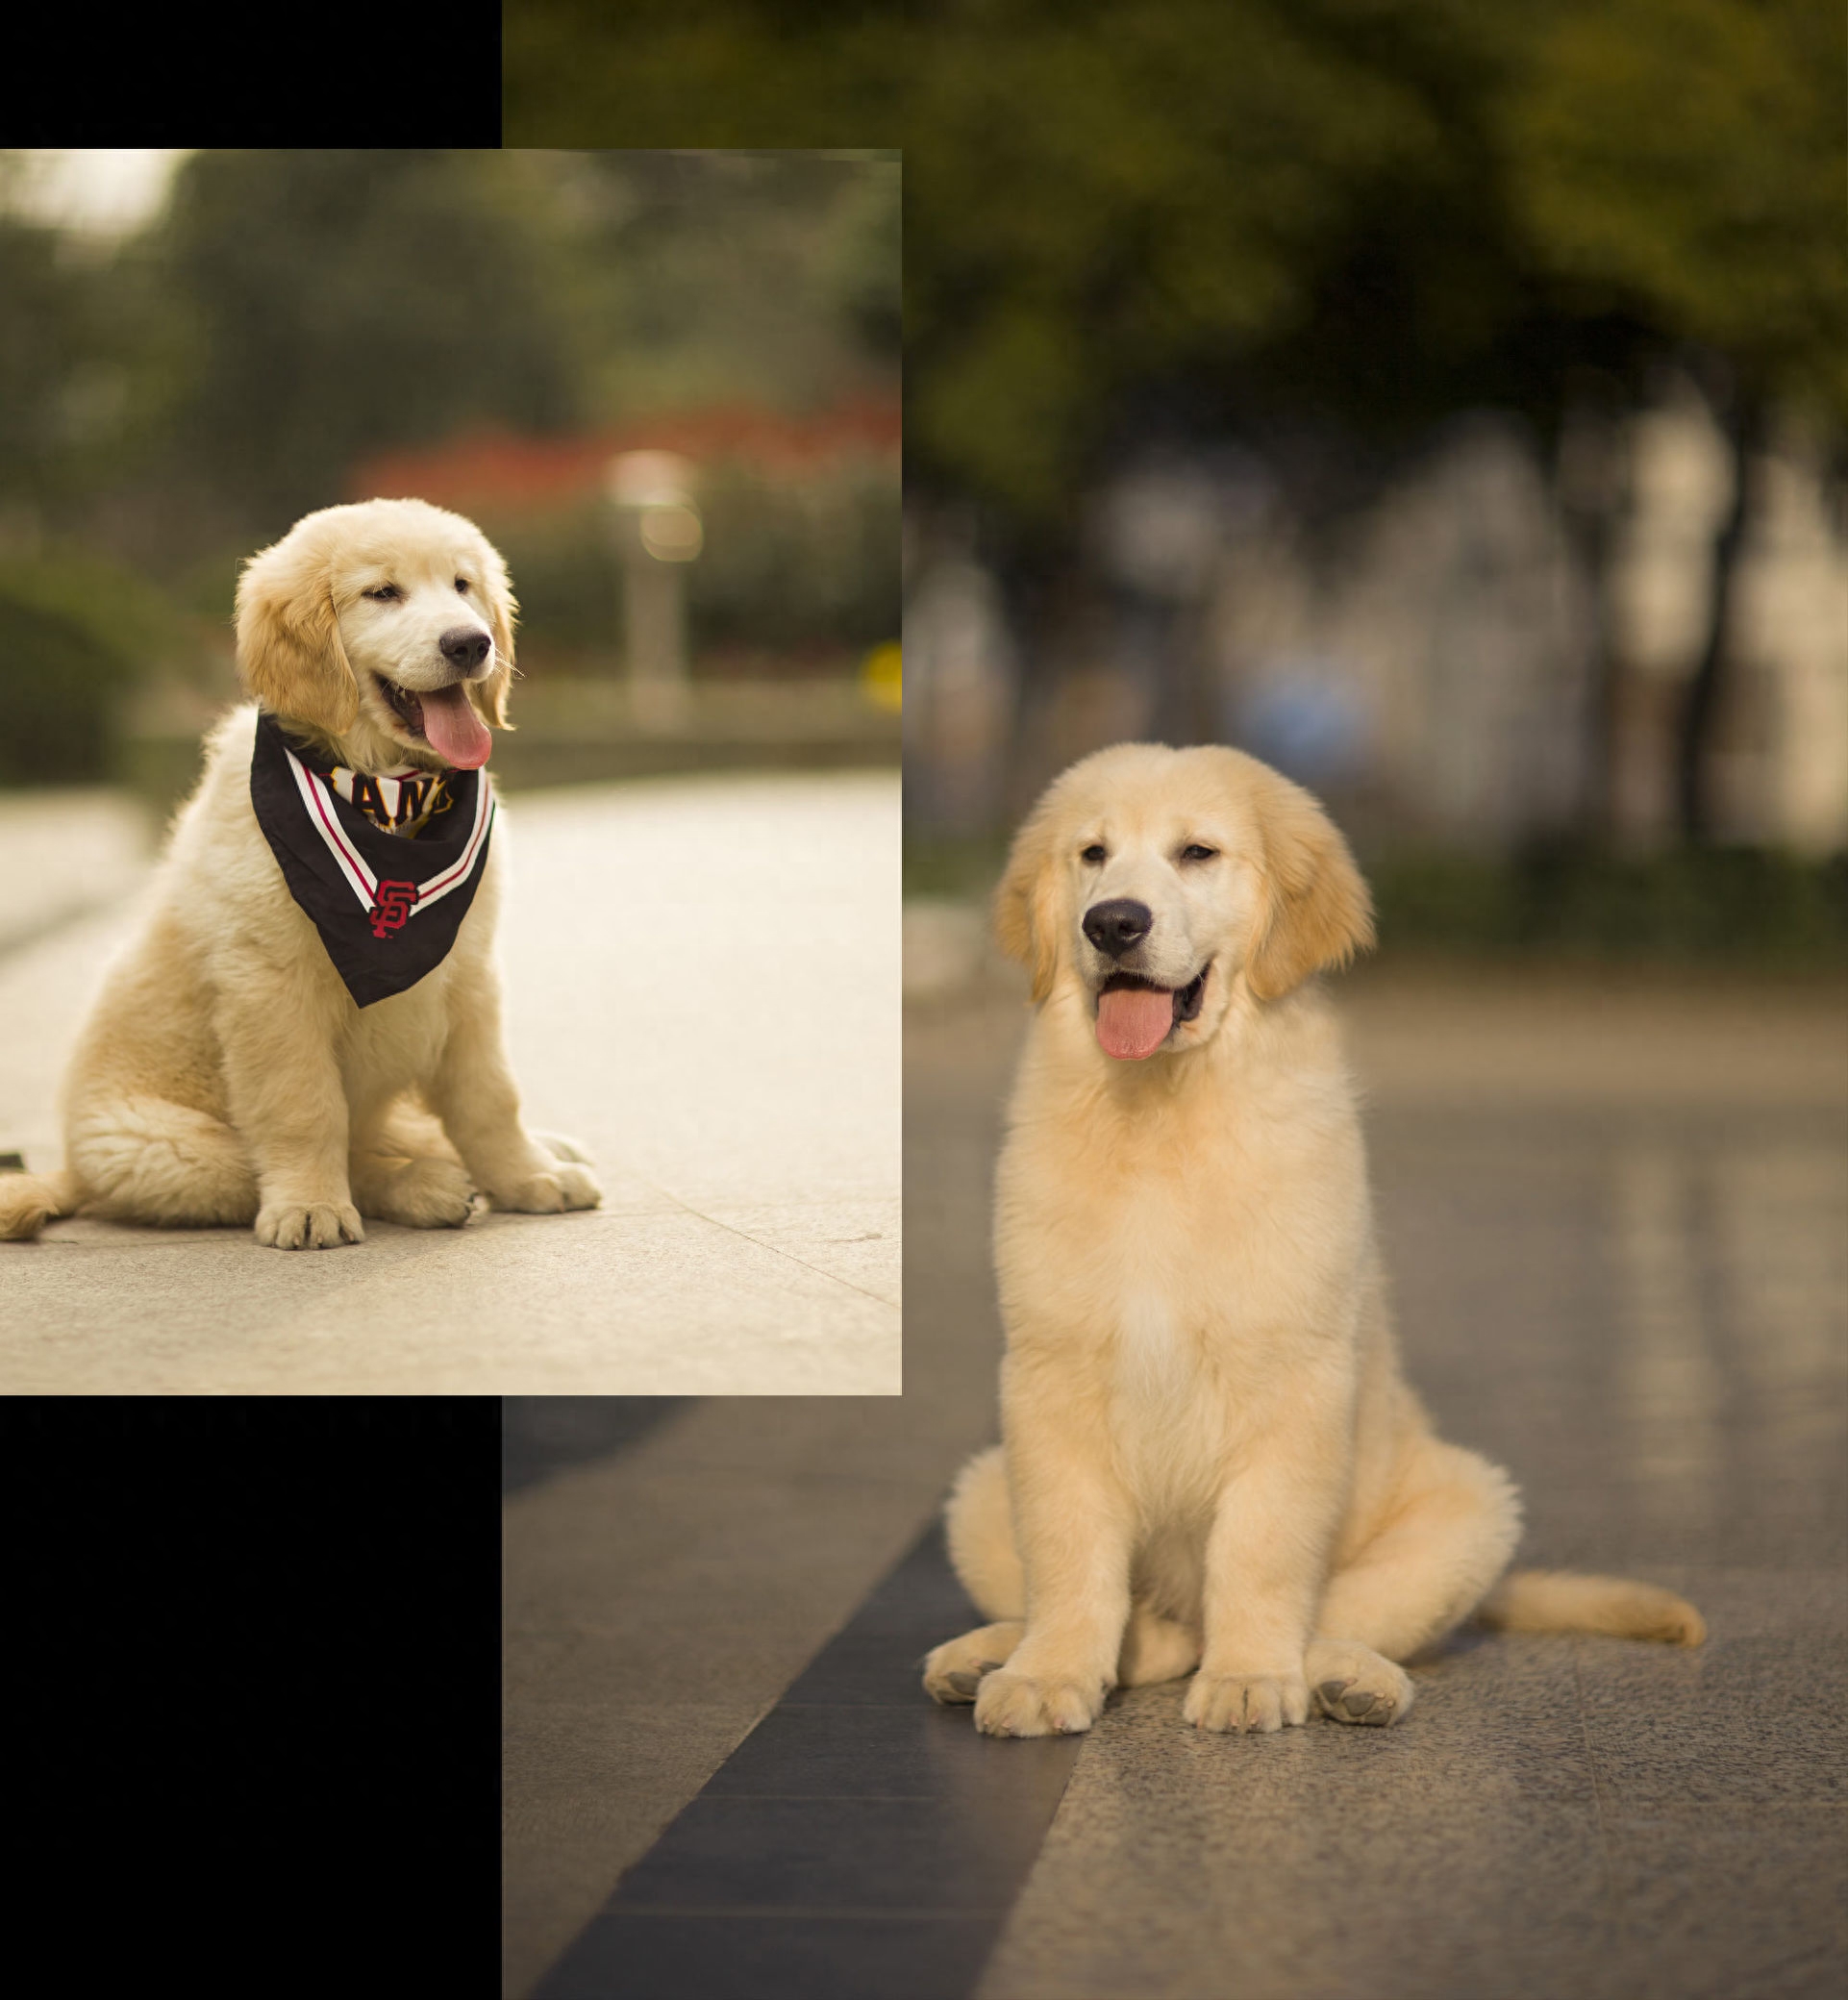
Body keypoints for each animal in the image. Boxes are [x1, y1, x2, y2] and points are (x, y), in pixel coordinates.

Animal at [0, 495, 595, 1247]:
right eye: (382, 593)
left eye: (462, 586)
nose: (471, 644)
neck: (386, 798)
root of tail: (73, 1172)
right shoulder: (272, 987)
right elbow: (306, 1108)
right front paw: (311, 1205)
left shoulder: (468, 975)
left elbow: (489, 1096)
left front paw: (527, 1176)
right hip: (171, 1153)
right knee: (341, 1155)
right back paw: (423, 1186)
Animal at [923, 743, 1704, 1728]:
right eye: (1092, 855)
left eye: (1198, 853)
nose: (1113, 924)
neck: (1167, 1113)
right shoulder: (1048, 1377)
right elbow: (1068, 1557)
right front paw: (1046, 1673)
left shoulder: (1293, 1376)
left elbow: (1260, 1549)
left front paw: (1251, 1675)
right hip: (978, 1489)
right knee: (1139, 1625)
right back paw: (994, 1653)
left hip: (1473, 1506)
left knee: (1343, 1615)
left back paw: (1345, 1676)